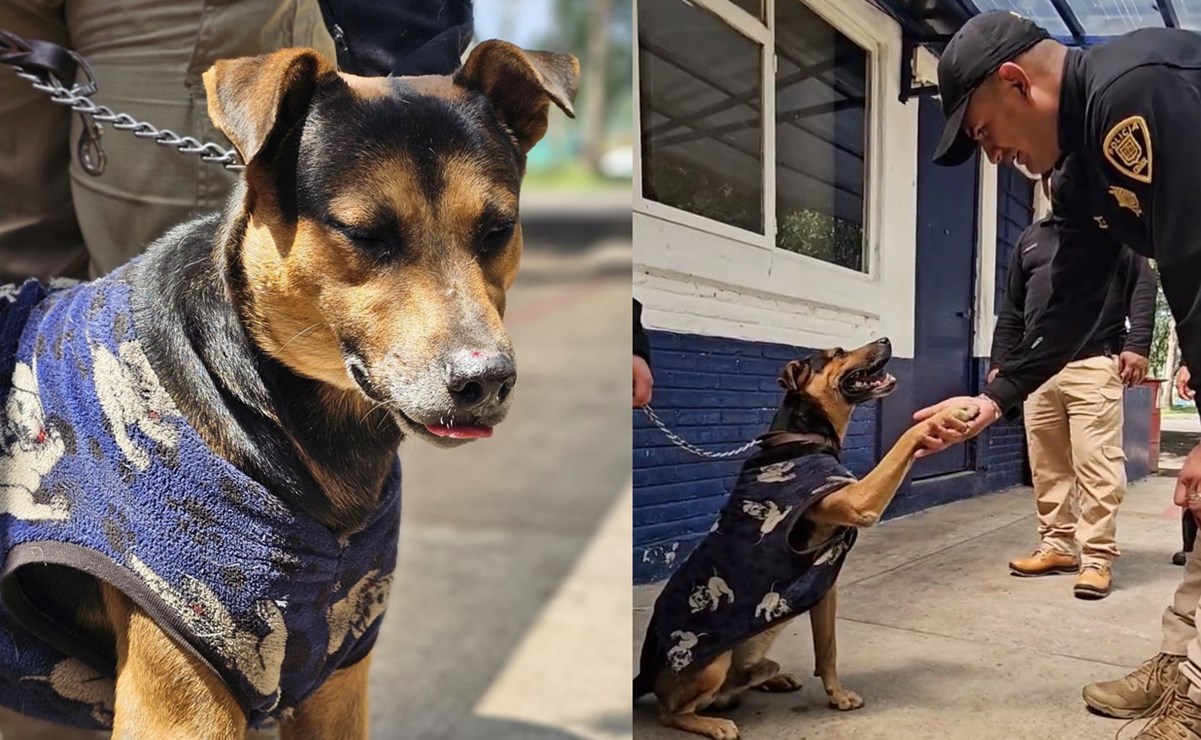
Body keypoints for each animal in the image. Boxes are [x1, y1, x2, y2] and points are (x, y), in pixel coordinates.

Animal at [629, 338, 975, 740]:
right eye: (838, 353)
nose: (886, 340)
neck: (802, 434)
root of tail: (645, 673)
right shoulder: (859, 500)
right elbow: (906, 438)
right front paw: (955, 412)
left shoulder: (826, 588)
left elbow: (827, 650)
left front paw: (837, 696)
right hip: (710, 664)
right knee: (672, 711)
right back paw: (713, 723)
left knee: (741, 681)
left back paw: (767, 679)